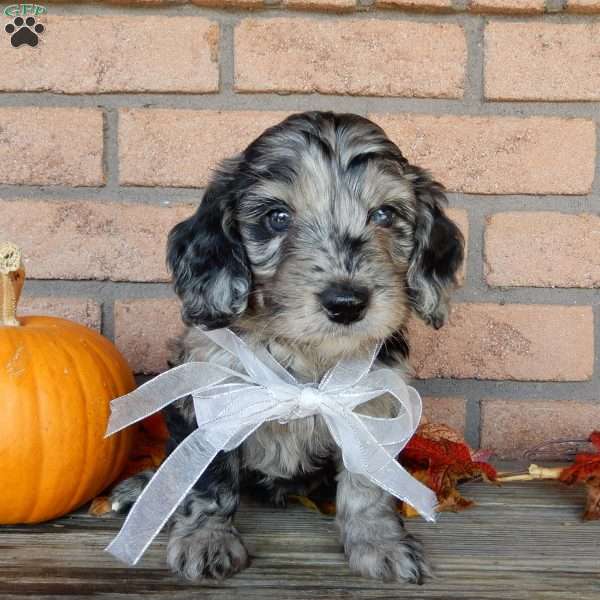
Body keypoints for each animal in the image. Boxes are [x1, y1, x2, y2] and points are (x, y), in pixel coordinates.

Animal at [111, 110, 464, 584]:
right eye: (278, 217)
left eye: (384, 215)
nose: (347, 302)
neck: (306, 354)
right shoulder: (213, 393)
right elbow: (207, 480)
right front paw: (206, 539)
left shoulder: (371, 403)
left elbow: (368, 484)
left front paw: (380, 544)